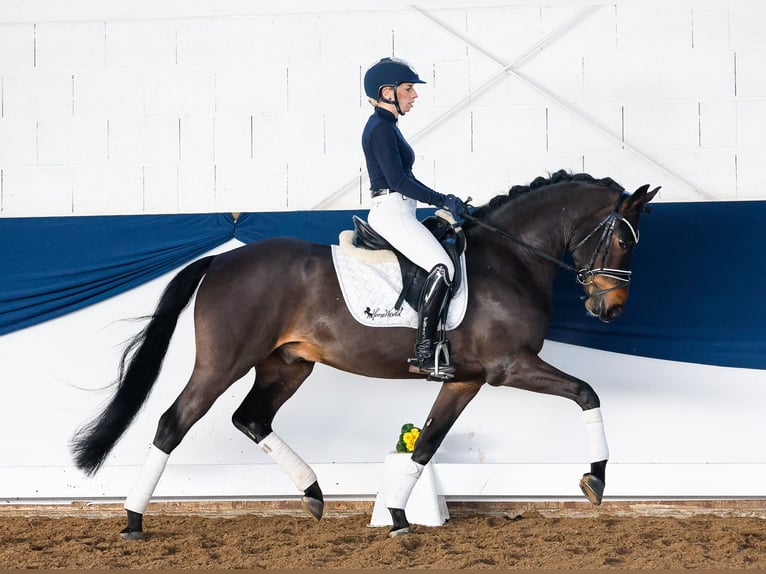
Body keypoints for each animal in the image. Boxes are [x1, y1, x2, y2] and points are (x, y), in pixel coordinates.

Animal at [70, 171, 660, 540]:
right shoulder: (509, 367)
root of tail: (219, 262)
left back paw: (313, 494)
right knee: (175, 422)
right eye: (625, 242)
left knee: (251, 417)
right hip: (222, 363)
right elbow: (587, 393)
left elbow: (427, 443)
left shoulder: (464, 379)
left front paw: (398, 515)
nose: (610, 310)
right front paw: (596, 480)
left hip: (287, 364)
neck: (510, 261)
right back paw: (132, 522)